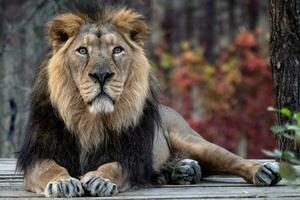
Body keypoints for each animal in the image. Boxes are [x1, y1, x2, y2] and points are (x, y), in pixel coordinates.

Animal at [17, 2, 282, 197]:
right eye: (82, 50)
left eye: (117, 50)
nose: (101, 75)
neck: (90, 120)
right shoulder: (38, 156)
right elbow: (50, 168)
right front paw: (63, 183)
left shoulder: (131, 157)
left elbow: (114, 166)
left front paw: (100, 179)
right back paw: (184, 170)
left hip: (190, 139)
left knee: (230, 159)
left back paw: (262, 170)